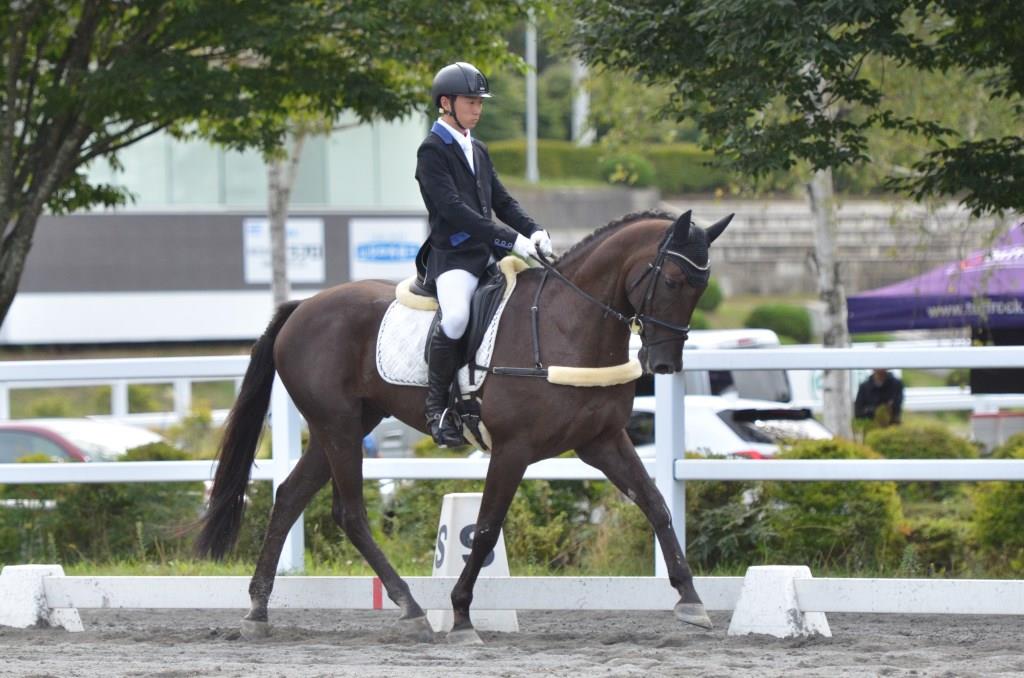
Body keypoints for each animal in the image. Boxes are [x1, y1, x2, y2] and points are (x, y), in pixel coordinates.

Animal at [195, 209, 733, 647]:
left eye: (702, 285)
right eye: (673, 279)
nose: (663, 365)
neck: (565, 323)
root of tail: (301, 308)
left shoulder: (601, 441)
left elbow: (657, 505)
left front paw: (691, 602)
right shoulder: (514, 449)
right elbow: (487, 529)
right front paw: (460, 618)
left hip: (347, 424)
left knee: (289, 497)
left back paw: (259, 612)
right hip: (340, 426)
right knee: (349, 513)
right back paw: (411, 608)